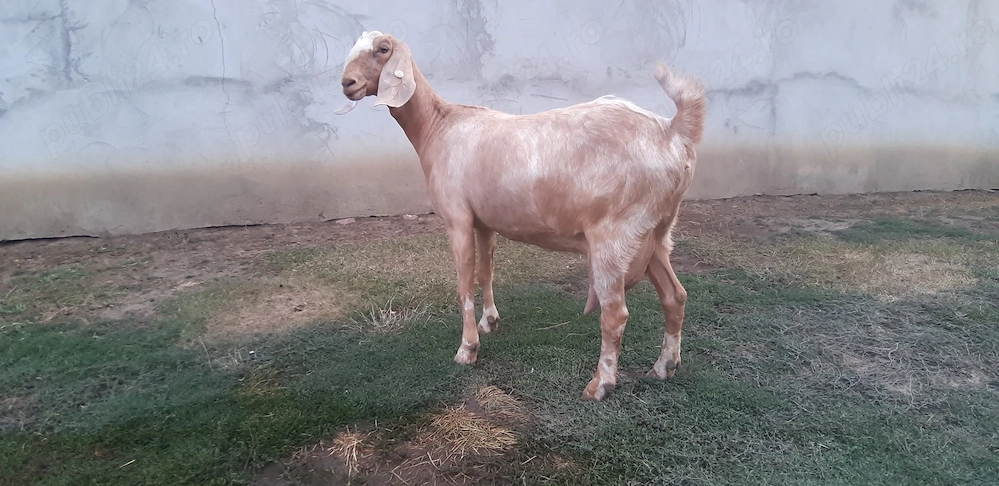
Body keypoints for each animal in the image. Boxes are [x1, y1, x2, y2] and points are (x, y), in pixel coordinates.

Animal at [335, 31, 706, 401]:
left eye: (383, 49)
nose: (347, 83)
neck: (438, 126)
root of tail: (674, 131)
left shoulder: (457, 217)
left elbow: (463, 282)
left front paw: (467, 349)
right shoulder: (484, 221)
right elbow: (485, 272)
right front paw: (489, 322)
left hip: (614, 236)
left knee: (615, 313)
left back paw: (600, 384)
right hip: (655, 232)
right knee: (675, 296)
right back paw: (664, 367)